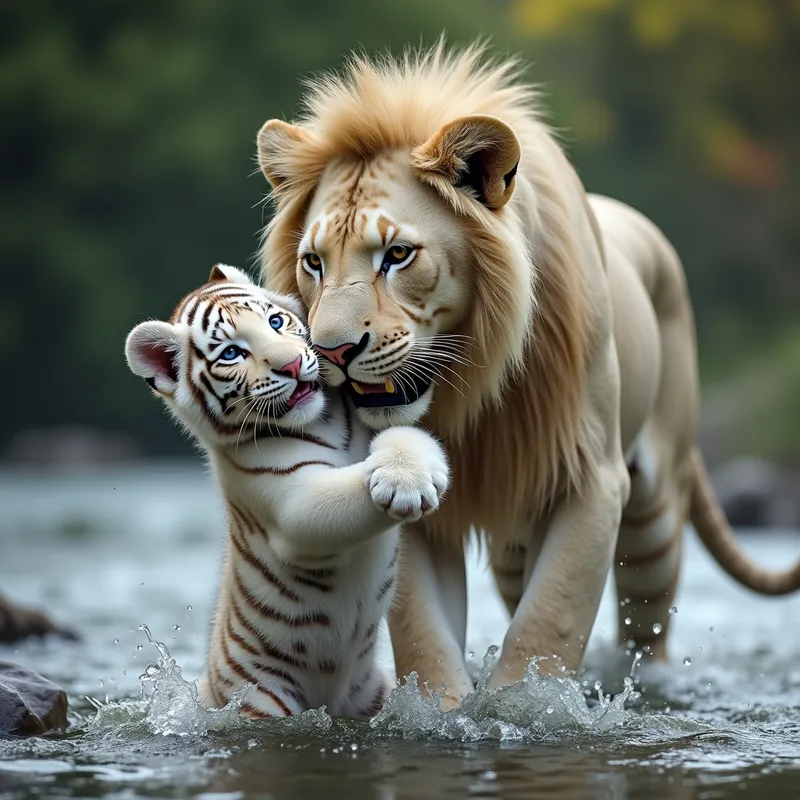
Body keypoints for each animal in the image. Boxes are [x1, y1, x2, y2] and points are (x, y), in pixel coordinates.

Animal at [124, 263, 449, 719]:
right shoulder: (289, 500)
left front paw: (411, 476)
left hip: (371, 692)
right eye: (231, 353)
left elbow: (404, 433)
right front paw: (404, 488)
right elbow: (323, 503)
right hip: (262, 698)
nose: (293, 365)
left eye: (276, 322)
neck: (326, 422)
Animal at [255, 42, 800, 706]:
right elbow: (424, 634)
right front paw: (447, 708)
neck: (473, 382)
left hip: (654, 516)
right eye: (313, 262)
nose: (332, 352)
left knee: (646, 624)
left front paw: (529, 707)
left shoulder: (591, 478)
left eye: (398, 255)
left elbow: (550, 619)